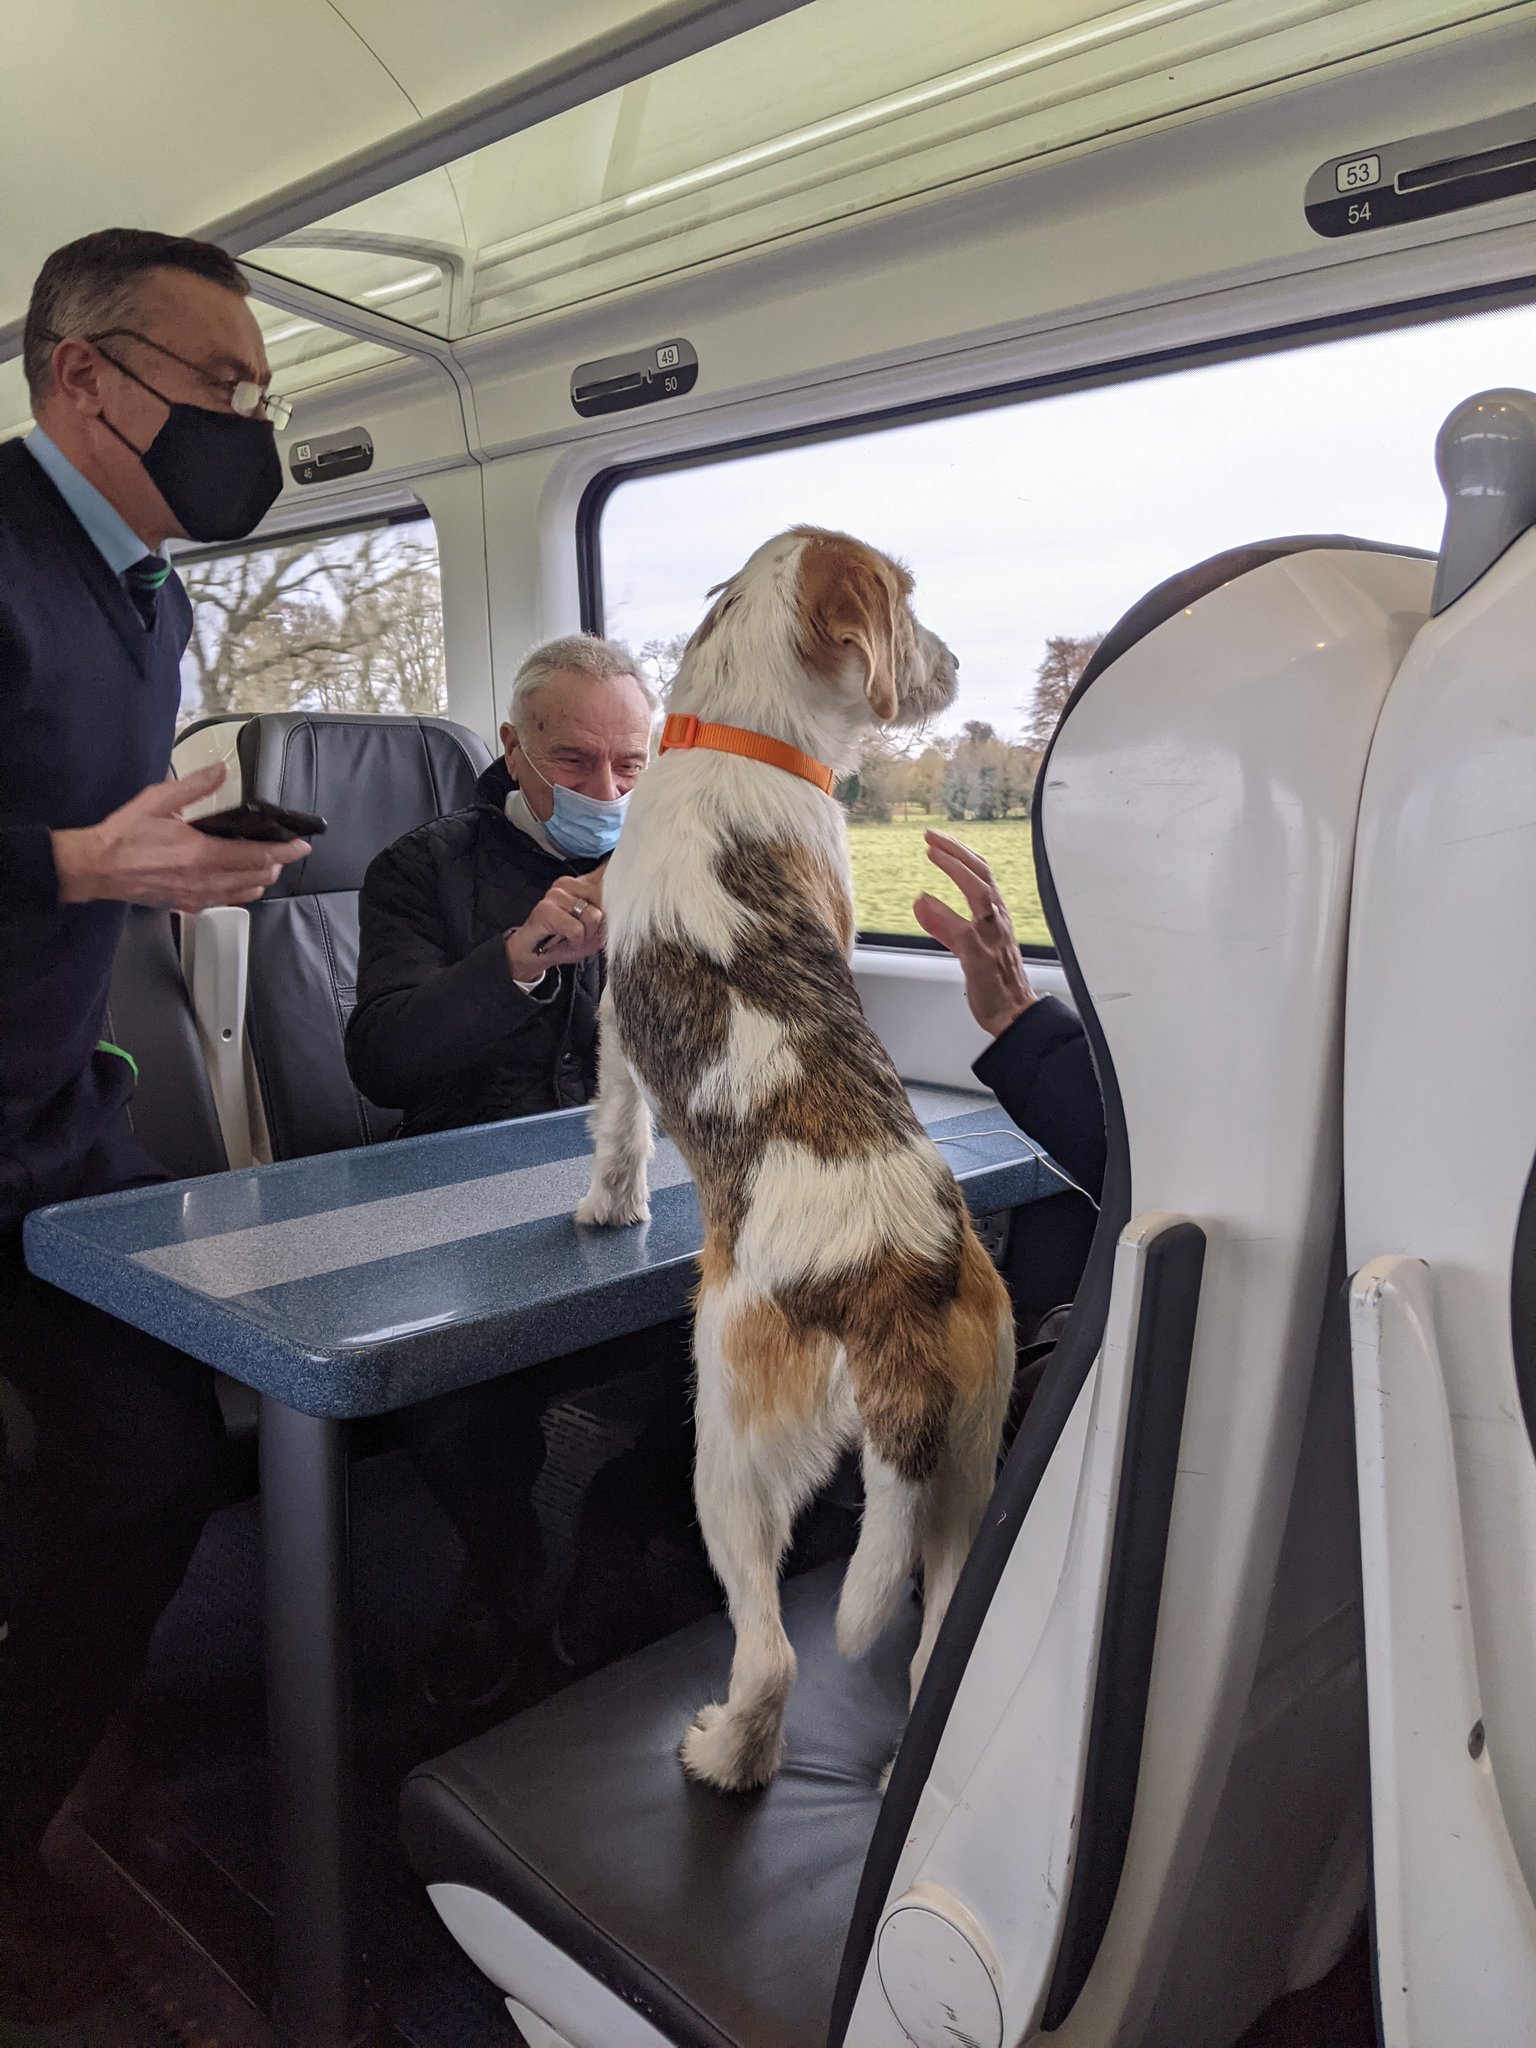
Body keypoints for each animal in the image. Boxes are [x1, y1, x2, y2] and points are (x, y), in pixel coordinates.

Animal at [573, 528, 1015, 1794]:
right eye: (908, 600)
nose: (954, 662)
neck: (742, 732)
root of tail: (897, 1277)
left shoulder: (613, 1022)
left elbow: (615, 1128)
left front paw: (605, 1209)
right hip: (966, 1463)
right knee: (929, 1647)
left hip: (727, 1452)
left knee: (771, 1653)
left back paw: (724, 1752)